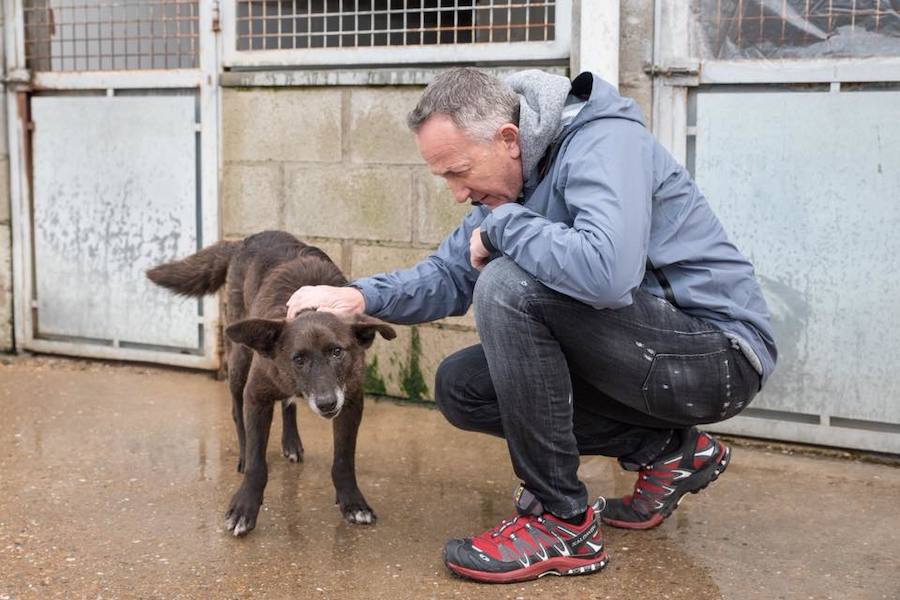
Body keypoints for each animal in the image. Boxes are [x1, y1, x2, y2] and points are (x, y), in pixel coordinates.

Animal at [147, 232, 394, 536]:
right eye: (298, 358)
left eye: (337, 352)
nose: (326, 403)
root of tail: (244, 241)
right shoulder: (257, 396)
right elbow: (257, 463)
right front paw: (244, 508)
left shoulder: (350, 402)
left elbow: (343, 460)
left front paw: (353, 502)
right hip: (239, 360)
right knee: (237, 410)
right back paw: (243, 452)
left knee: (288, 404)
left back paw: (291, 442)